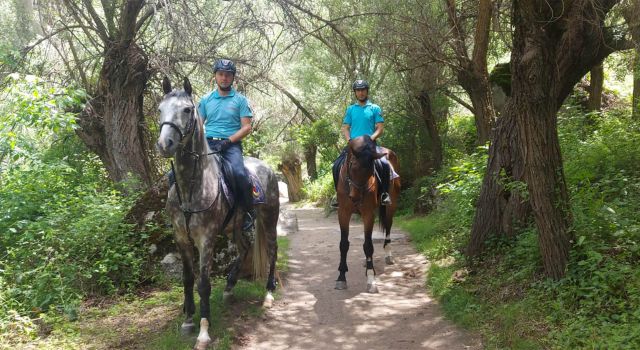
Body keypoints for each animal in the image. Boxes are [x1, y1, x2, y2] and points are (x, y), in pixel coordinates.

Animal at [156, 77, 278, 350]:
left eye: (187, 110)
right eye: (159, 109)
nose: (165, 144)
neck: (193, 186)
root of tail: (267, 167)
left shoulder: (207, 239)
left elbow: (203, 283)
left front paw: (203, 331)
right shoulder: (181, 238)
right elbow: (187, 279)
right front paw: (188, 321)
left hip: (269, 218)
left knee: (272, 251)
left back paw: (268, 294)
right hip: (235, 226)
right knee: (244, 248)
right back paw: (230, 288)